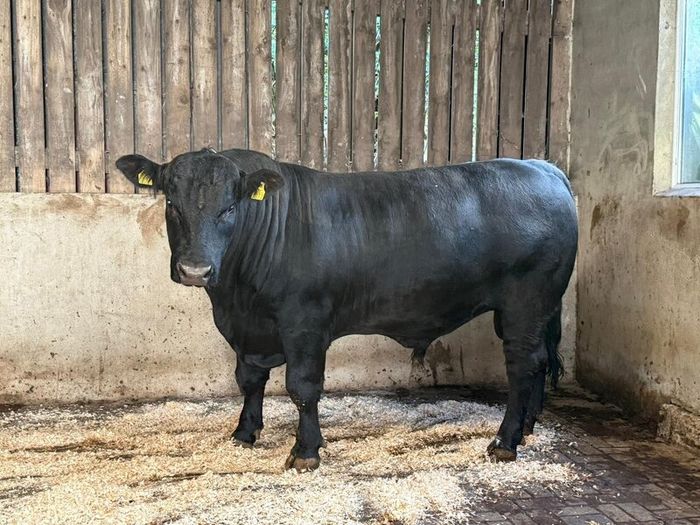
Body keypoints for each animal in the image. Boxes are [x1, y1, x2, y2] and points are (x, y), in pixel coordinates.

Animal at [116, 148, 577, 471]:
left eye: (229, 208)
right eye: (171, 204)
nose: (195, 270)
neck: (236, 297)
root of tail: (542, 168)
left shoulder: (303, 324)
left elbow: (302, 388)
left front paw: (305, 452)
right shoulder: (248, 330)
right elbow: (249, 380)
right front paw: (244, 432)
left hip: (524, 304)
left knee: (521, 364)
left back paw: (505, 442)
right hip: (537, 309)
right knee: (537, 362)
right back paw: (528, 428)